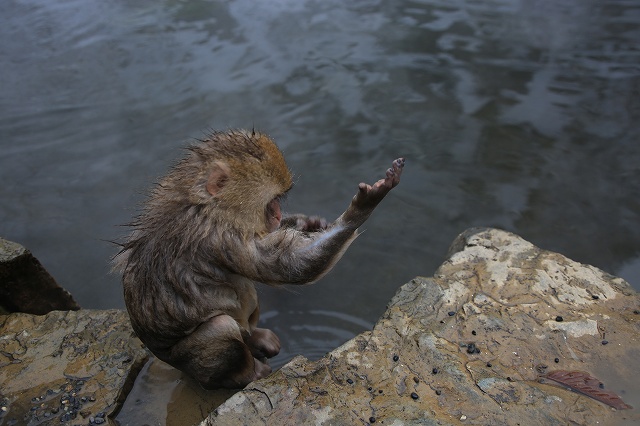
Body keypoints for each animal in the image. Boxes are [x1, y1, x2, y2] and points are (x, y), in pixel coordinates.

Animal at [114, 130, 404, 390]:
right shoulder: (220, 235)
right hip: (188, 362)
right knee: (221, 327)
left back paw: (255, 337)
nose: (277, 215)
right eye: (271, 201)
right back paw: (246, 374)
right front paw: (362, 207)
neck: (206, 204)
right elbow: (286, 266)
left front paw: (306, 222)